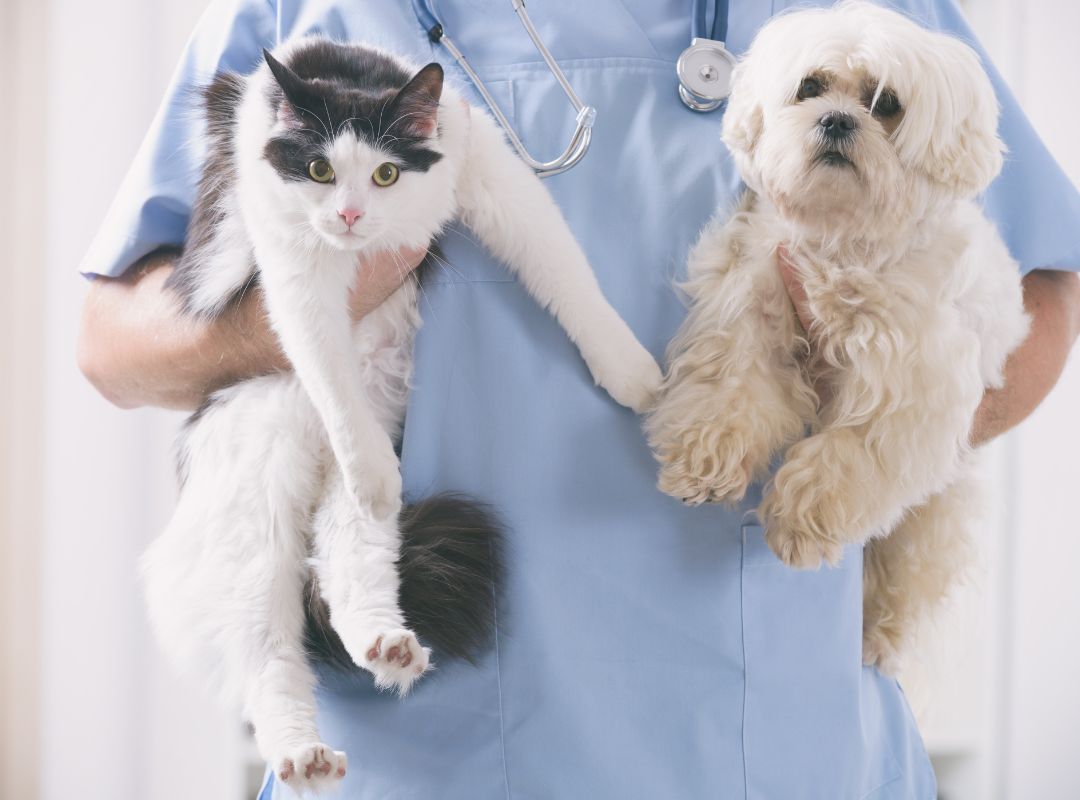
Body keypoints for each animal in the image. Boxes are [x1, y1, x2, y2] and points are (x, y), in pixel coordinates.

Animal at [139, 34, 660, 790]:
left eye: (385, 174)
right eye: (320, 169)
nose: (351, 215)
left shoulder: (486, 169)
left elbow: (567, 273)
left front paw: (630, 373)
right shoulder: (295, 264)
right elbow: (325, 364)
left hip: (350, 501)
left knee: (349, 565)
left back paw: (387, 646)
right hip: (254, 518)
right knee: (269, 657)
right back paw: (302, 753)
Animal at [648, 1, 1028, 673]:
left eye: (887, 103)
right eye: (810, 87)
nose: (836, 119)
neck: (842, 241)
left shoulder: (907, 388)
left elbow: (846, 457)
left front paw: (802, 523)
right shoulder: (752, 307)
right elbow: (730, 393)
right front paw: (704, 461)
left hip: (934, 520)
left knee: (906, 576)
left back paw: (877, 632)